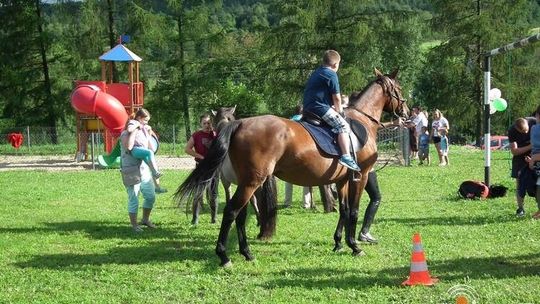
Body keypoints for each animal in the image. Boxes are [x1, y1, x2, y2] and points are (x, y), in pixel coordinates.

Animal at [175, 69, 408, 266]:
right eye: (399, 88)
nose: (405, 112)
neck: (362, 119)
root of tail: (240, 123)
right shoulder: (361, 176)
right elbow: (354, 211)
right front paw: (355, 246)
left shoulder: (342, 180)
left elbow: (343, 210)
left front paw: (339, 243)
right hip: (252, 181)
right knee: (231, 211)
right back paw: (224, 256)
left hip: (246, 182)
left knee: (240, 214)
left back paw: (246, 252)